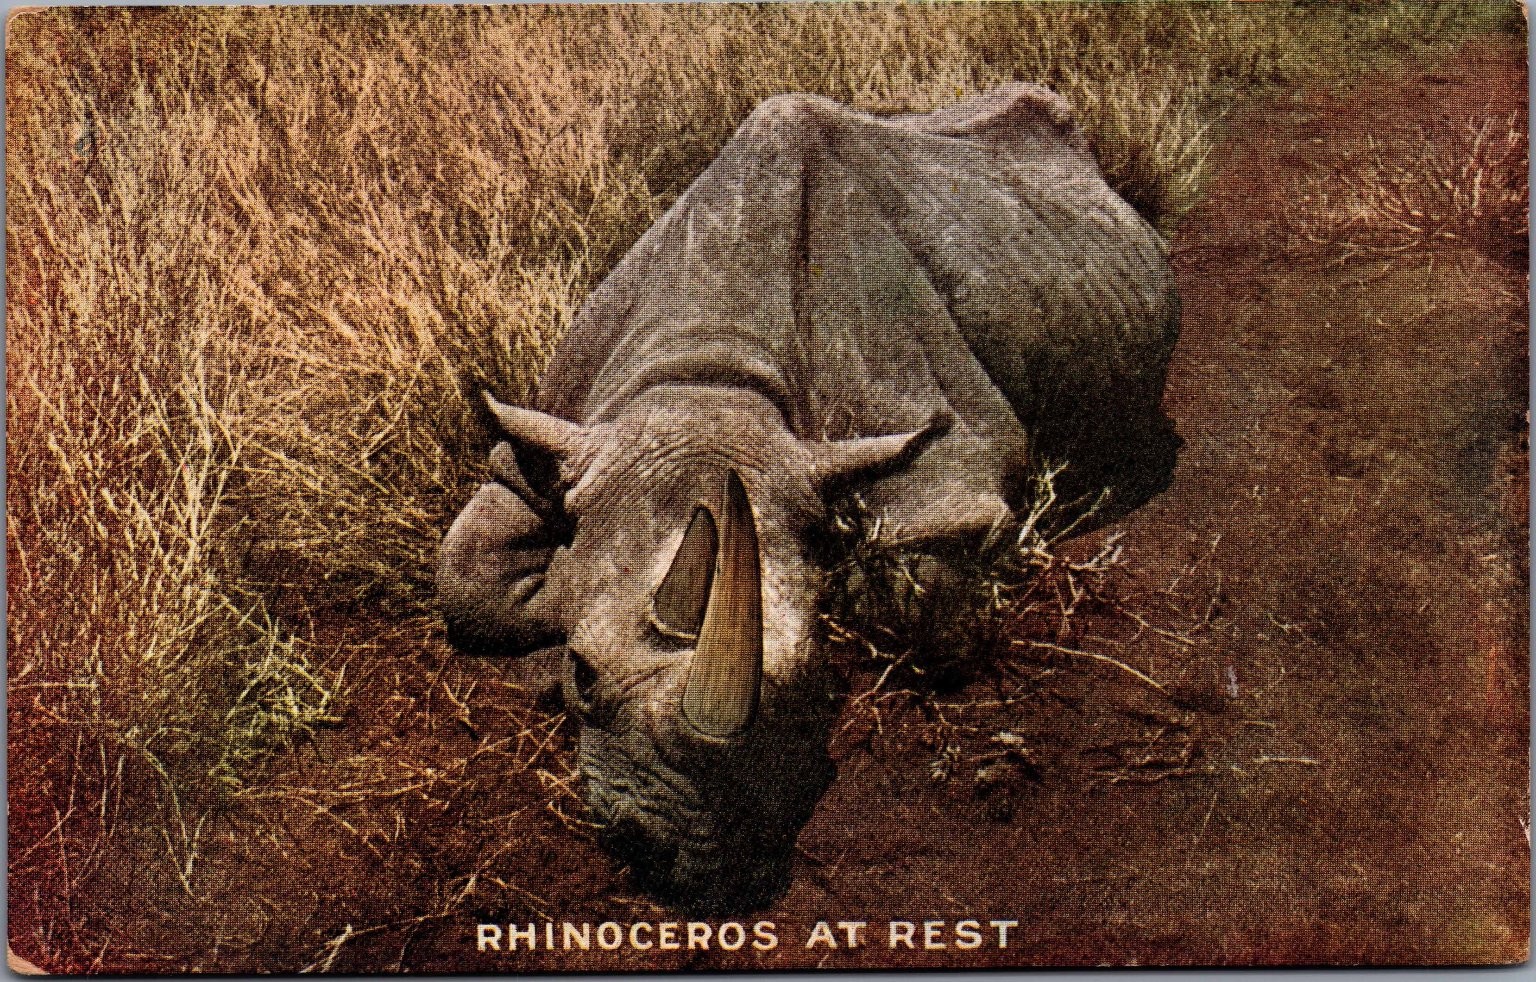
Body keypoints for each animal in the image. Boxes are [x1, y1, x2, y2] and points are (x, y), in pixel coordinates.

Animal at [439, 84, 1180, 911]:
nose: (669, 856)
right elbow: (466, 571)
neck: (711, 381)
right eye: (582, 673)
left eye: (805, 685)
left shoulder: (940, 450)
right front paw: (552, 605)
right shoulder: (549, 441)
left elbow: (914, 583)